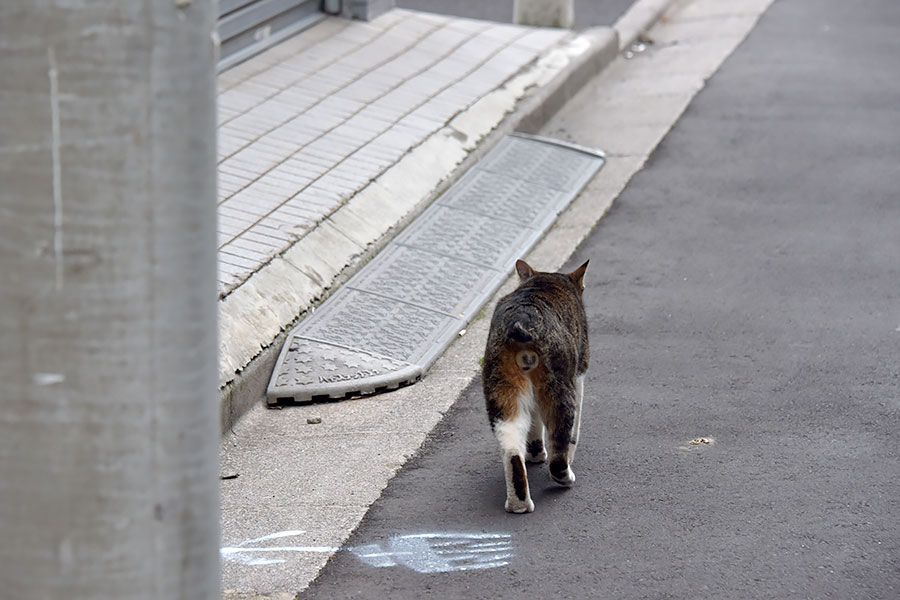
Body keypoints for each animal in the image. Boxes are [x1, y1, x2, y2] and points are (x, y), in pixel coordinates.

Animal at [482, 255, 588, 512]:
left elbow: (533, 425)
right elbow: (574, 432)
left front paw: (536, 454)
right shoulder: (580, 372)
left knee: (511, 446)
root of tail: (520, 322)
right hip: (559, 386)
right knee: (560, 443)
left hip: (501, 387)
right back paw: (565, 478)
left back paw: (518, 504)